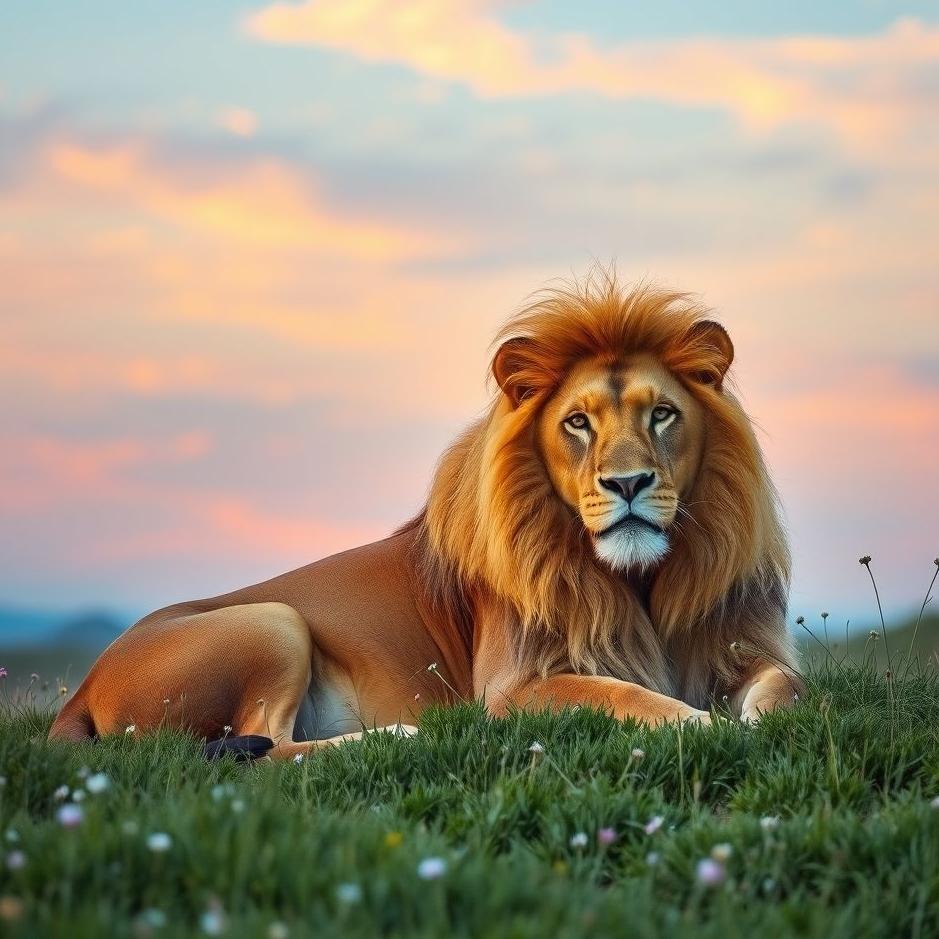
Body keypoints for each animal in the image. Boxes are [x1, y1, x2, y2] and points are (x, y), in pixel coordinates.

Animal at [49, 276, 800, 759]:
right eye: (577, 422)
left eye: (662, 413)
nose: (628, 482)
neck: (641, 580)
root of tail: (79, 691)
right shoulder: (513, 688)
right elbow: (630, 698)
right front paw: (709, 727)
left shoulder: (739, 647)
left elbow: (787, 686)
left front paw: (760, 721)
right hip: (272, 619)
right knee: (263, 751)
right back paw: (402, 735)